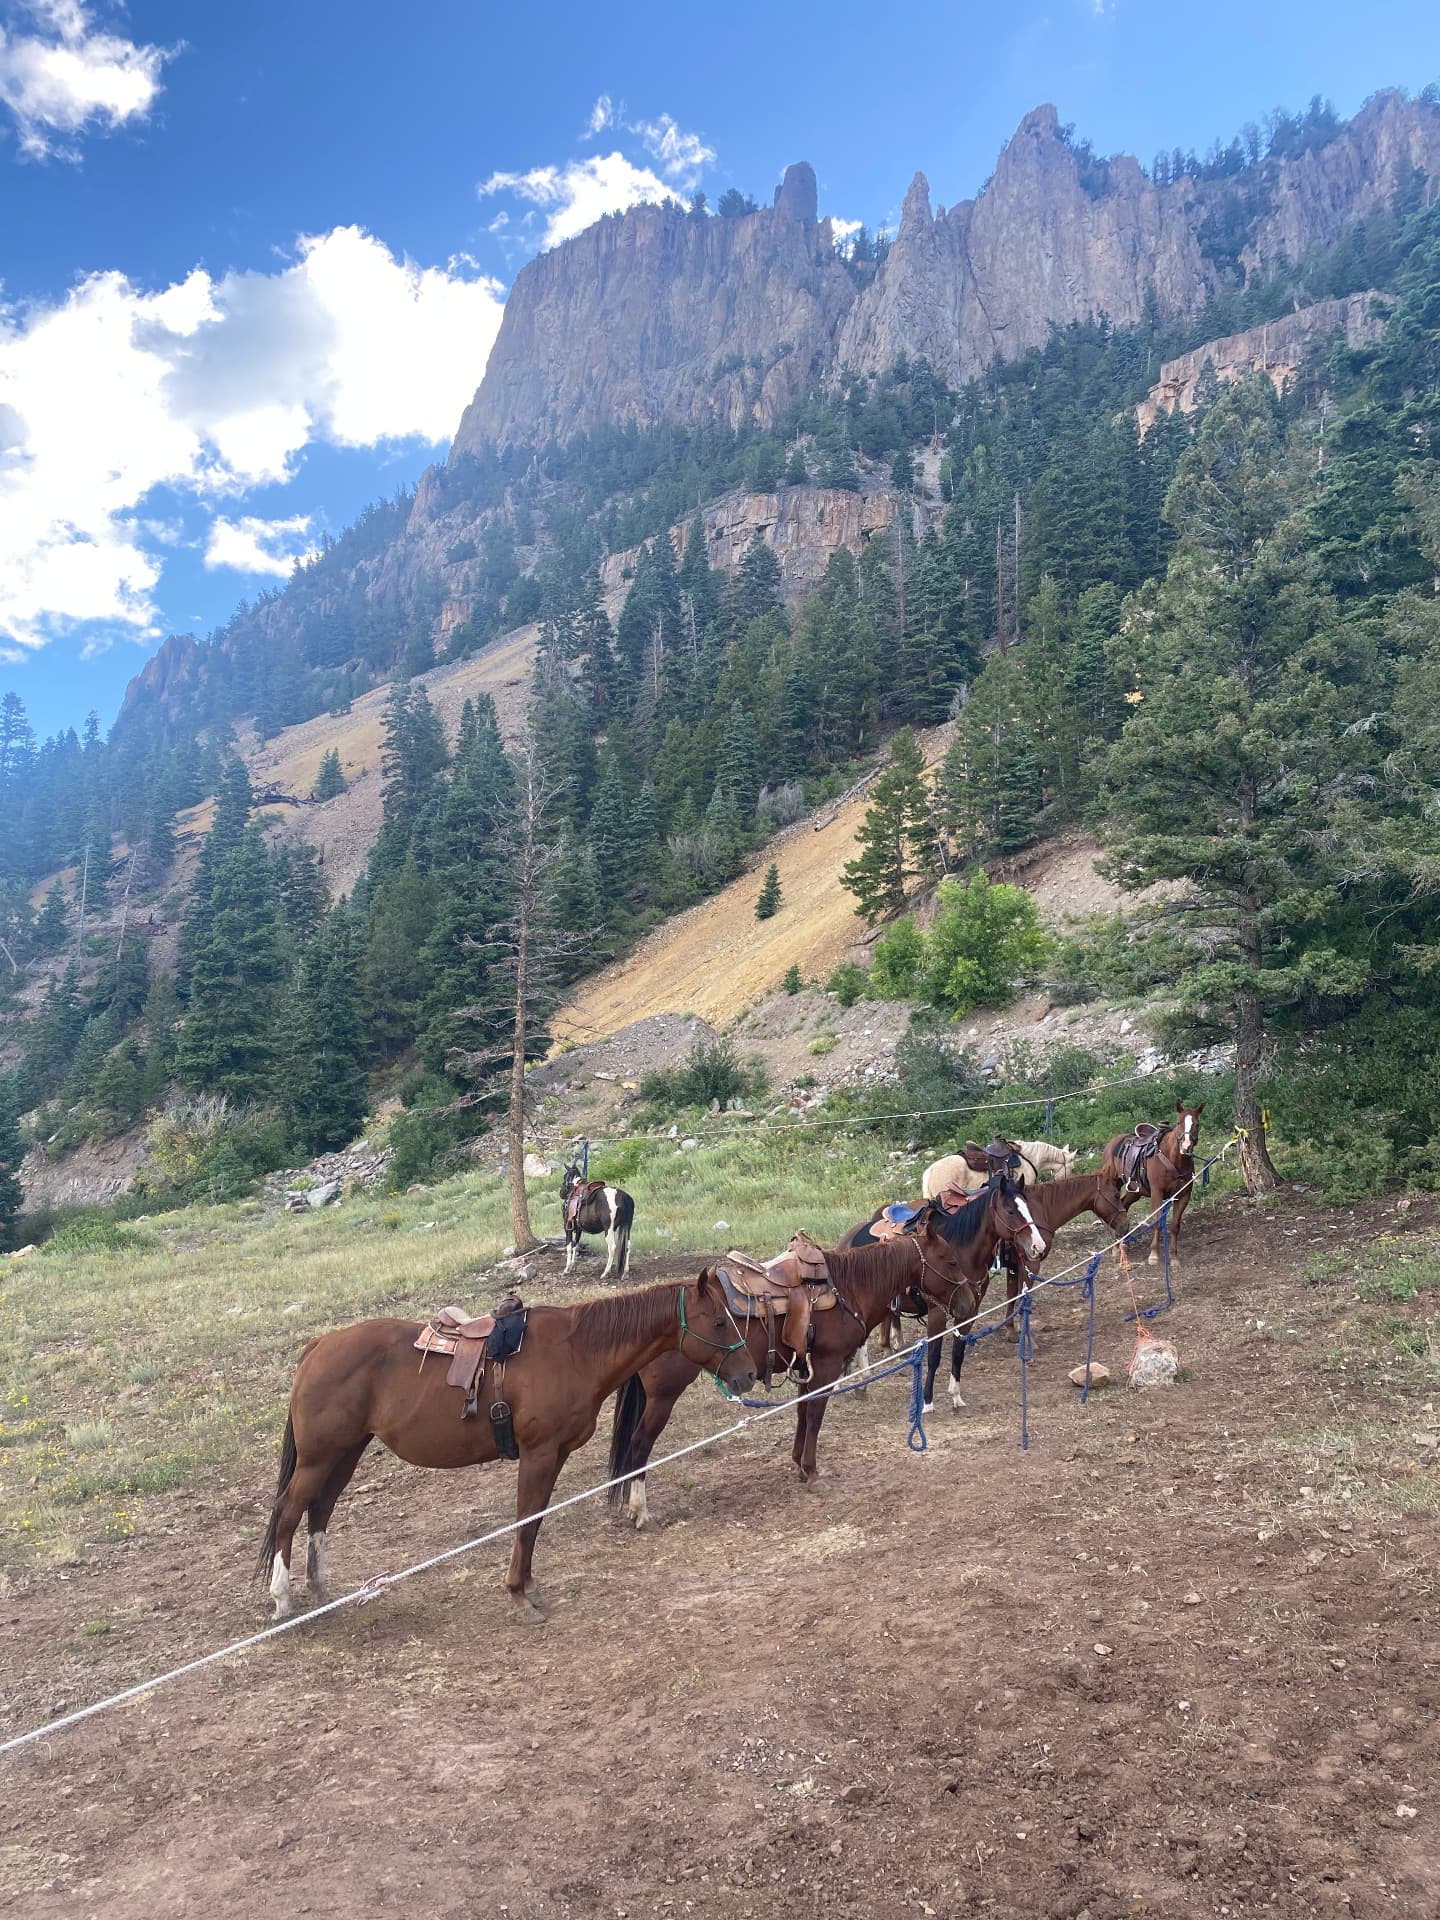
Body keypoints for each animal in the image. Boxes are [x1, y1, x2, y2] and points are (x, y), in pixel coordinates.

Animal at [257, 1273, 757, 1624]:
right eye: (719, 1321)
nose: (749, 1374)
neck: (576, 1351)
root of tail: (318, 1346)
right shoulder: (539, 1453)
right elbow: (526, 1519)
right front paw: (519, 1596)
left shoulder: (556, 1454)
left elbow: (533, 1522)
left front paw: (528, 1588)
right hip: (320, 1457)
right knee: (289, 1511)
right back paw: (283, 1599)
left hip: (345, 1454)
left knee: (320, 1509)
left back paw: (320, 1590)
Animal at [610, 1180, 1045, 1528]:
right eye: (950, 1260)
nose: (969, 1301)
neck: (847, 1286)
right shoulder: (828, 1365)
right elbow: (816, 1414)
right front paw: (812, 1471)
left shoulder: (807, 1366)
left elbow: (804, 1412)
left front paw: (797, 1465)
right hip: (663, 1395)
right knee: (640, 1444)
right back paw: (640, 1511)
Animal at [850, 1171, 1128, 1412]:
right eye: (1010, 1211)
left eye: (1027, 1208)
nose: (1125, 1226)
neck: (959, 1250)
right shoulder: (1023, 1267)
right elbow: (935, 1354)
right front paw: (927, 1403)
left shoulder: (972, 1307)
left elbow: (961, 1349)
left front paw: (956, 1395)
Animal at [1100, 1100, 1204, 1267]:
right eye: (1179, 1122)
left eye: (1197, 1123)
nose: (1186, 1146)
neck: (1172, 1158)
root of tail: (1111, 1144)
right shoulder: (1157, 1193)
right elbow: (1158, 1222)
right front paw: (1154, 1255)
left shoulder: (1183, 1196)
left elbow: (1175, 1225)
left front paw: (1174, 1257)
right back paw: (1116, 1247)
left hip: (1136, 1191)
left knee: (1124, 1205)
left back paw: (1122, 1242)